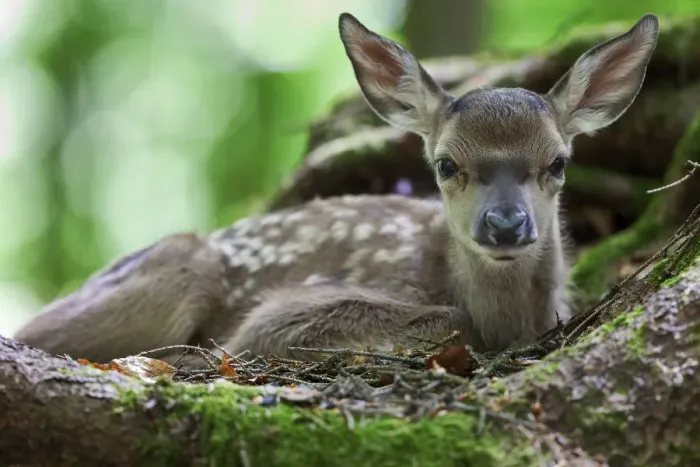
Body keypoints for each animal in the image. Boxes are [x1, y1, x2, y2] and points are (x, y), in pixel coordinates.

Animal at [12, 13, 659, 366]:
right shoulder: (281, 316)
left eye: (559, 162)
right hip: (179, 267)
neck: (510, 320)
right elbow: (448, 318)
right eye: (445, 164)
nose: (504, 224)